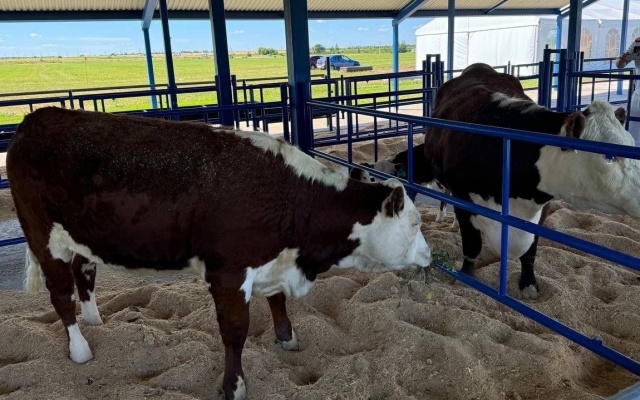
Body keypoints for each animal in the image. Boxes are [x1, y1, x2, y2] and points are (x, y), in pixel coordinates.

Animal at [7, 107, 432, 400]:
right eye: (414, 223)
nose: (429, 256)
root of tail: (37, 118)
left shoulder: (270, 260)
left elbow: (277, 301)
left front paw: (287, 337)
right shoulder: (228, 272)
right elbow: (235, 331)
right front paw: (234, 385)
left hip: (82, 237)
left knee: (85, 272)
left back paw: (95, 320)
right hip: (43, 237)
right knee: (60, 294)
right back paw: (80, 348)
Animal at [422, 62, 640, 300]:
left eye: (631, 144)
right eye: (609, 156)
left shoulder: (541, 207)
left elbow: (530, 253)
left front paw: (529, 285)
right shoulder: (463, 200)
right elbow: (472, 245)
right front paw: (467, 278)